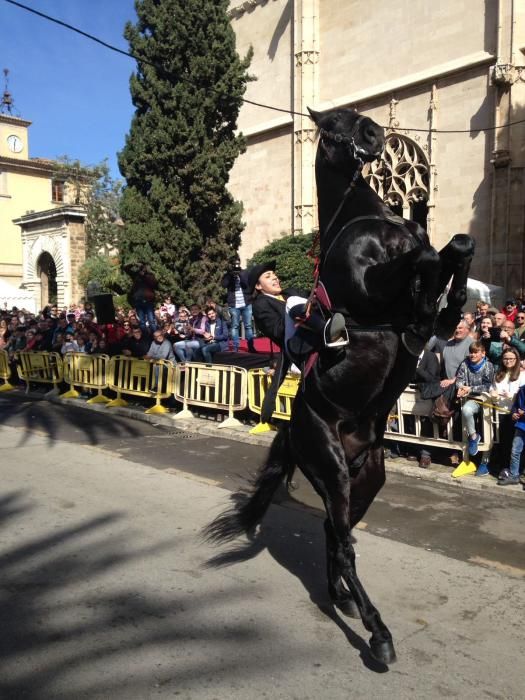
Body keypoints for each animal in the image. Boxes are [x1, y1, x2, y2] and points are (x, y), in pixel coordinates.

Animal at [206, 106, 474, 664]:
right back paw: (377, 631)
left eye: (357, 118)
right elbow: (426, 263)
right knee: (344, 542)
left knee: (337, 530)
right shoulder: (378, 290)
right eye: (332, 123)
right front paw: (437, 299)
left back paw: (341, 597)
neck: (367, 218)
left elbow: (456, 248)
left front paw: (453, 301)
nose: (375, 134)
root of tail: (293, 430)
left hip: (365, 477)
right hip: (329, 465)